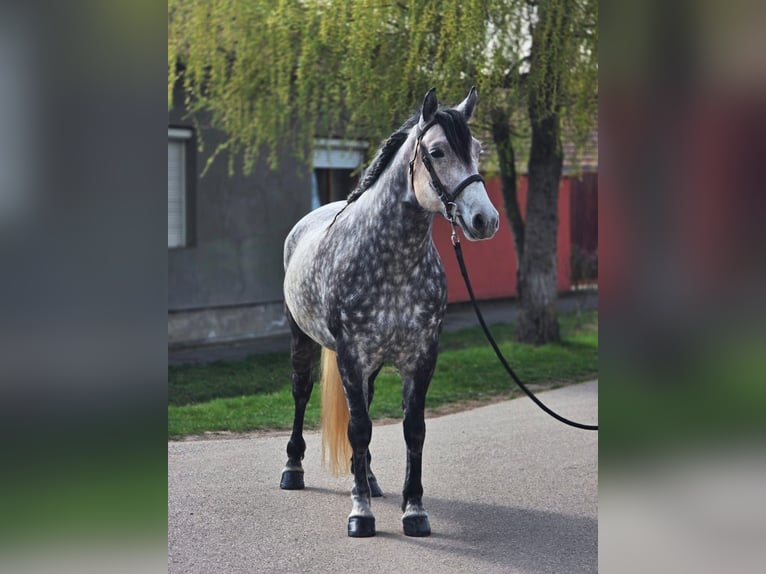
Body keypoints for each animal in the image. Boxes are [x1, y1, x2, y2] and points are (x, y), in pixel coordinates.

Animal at [279, 87, 499, 538]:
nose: (485, 220)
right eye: (437, 151)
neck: (392, 262)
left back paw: (369, 478)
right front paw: (360, 514)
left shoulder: (421, 358)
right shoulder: (350, 356)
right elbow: (359, 428)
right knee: (301, 392)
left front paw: (413, 510)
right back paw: (293, 470)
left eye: (478, 150)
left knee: (362, 403)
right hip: (302, 339)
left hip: (373, 365)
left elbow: (412, 429)